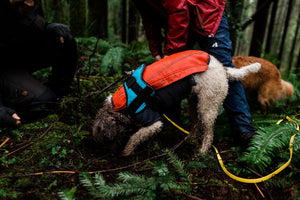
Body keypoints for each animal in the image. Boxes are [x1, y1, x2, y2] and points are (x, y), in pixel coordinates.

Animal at [92, 50, 260, 156]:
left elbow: (136, 136)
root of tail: (223, 69)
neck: (121, 102)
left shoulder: (153, 121)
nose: (111, 153)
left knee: (209, 133)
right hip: (194, 101)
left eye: (107, 139)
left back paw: (202, 151)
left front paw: (126, 151)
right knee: (197, 123)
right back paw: (190, 138)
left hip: (209, 104)